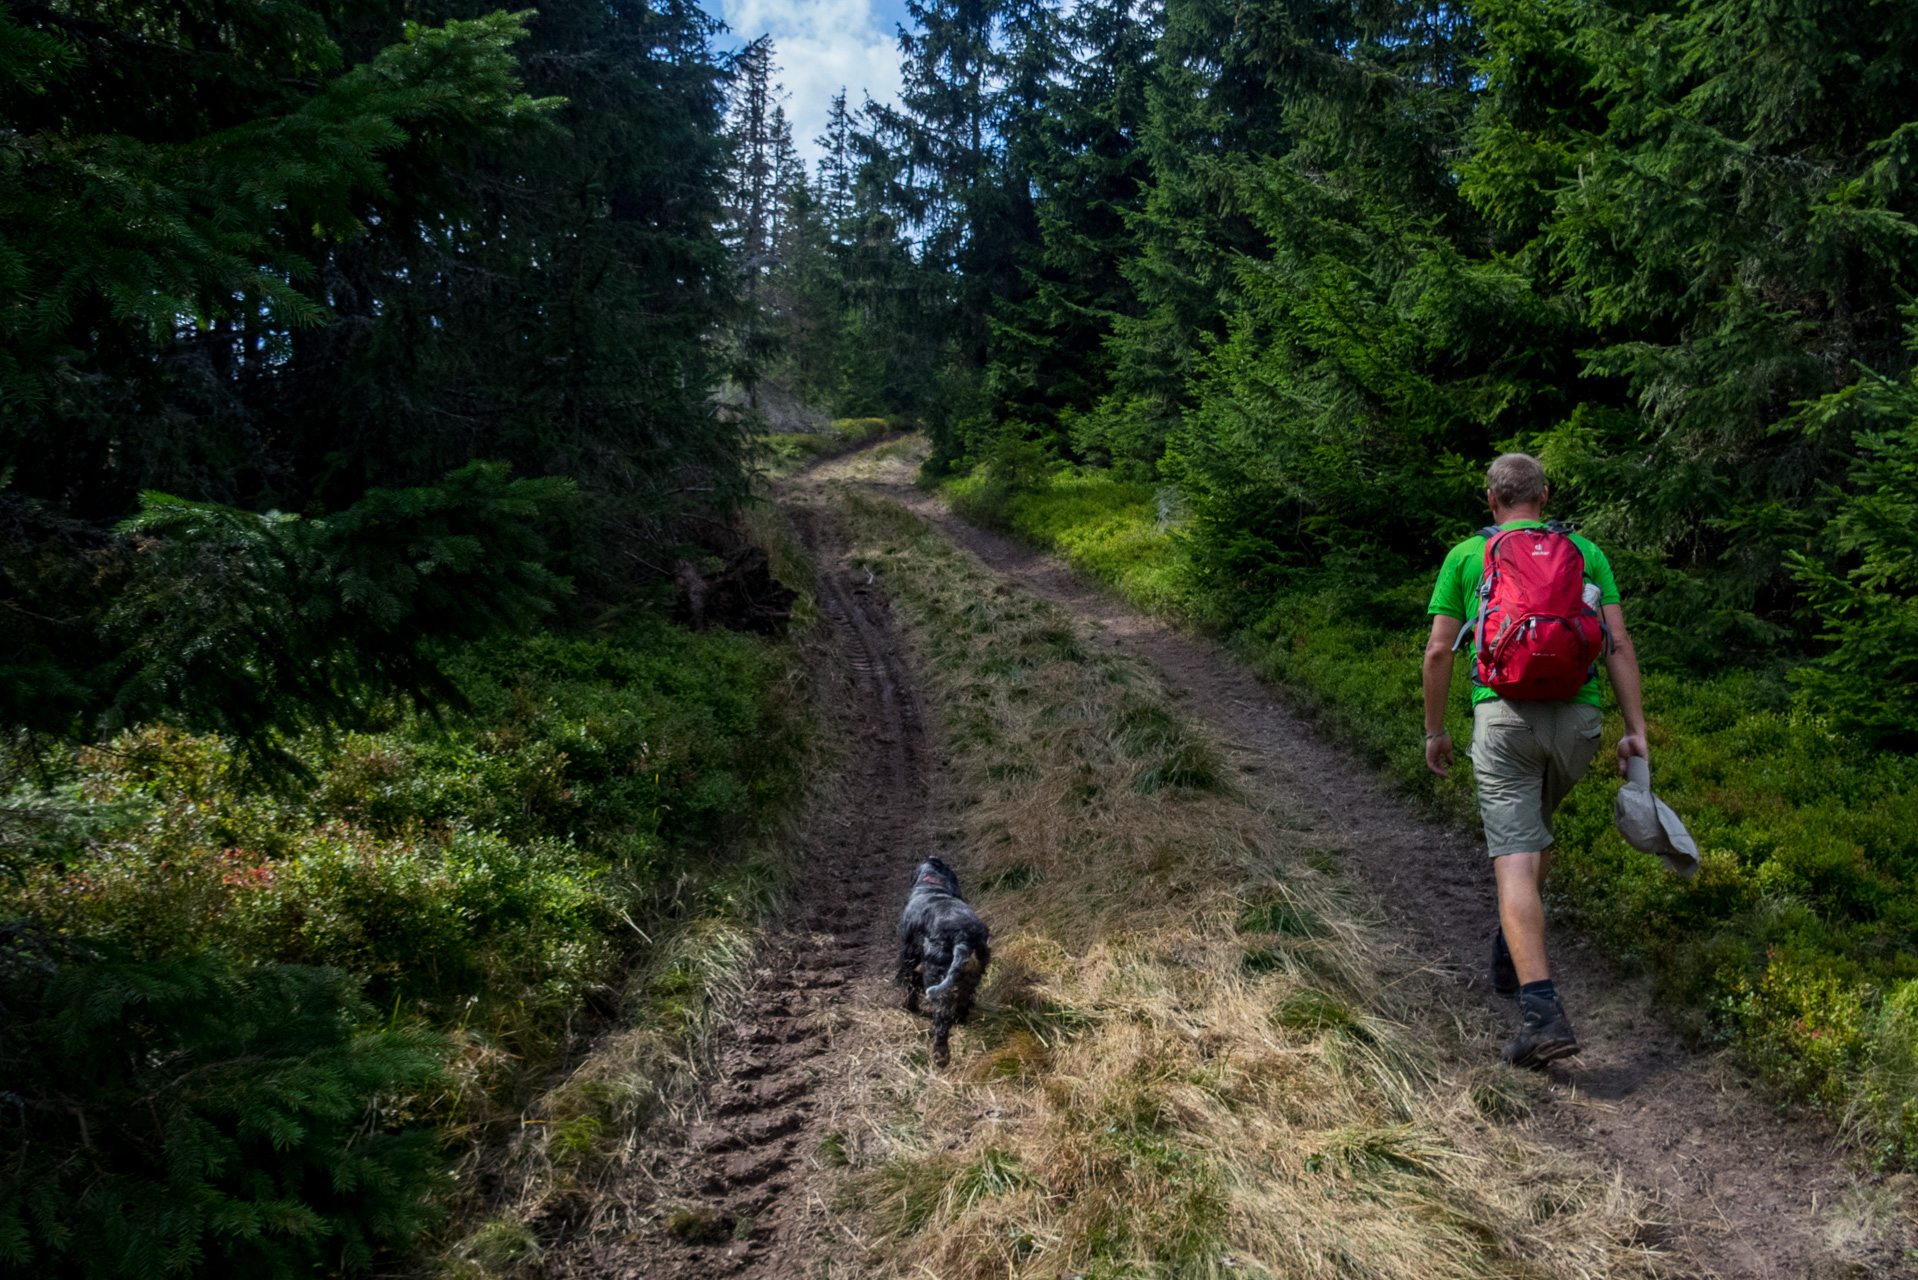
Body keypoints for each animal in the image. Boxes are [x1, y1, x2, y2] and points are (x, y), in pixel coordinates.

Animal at [893, 859, 989, 1074]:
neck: (932, 885)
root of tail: (963, 938)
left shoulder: (909, 954)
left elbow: (907, 981)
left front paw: (907, 1005)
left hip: (935, 974)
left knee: (942, 1017)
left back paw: (941, 1056)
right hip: (973, 974)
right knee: (963, 999)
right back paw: (960, 1018)